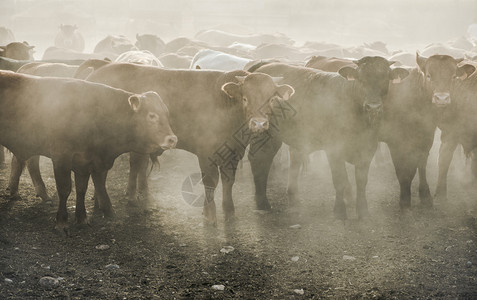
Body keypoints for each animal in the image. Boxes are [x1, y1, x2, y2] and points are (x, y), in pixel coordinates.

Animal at [0, 71, 177, 231]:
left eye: (167, 114)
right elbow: (65, 189)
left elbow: (81, 189)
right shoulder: (61, 158)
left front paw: (82, 218)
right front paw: (61, 221)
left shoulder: (84, 162)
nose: (172, 139)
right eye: (152, 115)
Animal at [85, 63, 294, 225]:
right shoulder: (206, 153)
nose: (259, 124)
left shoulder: (234, 153)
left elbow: (228, 182)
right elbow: (210, 182)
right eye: (245, 98)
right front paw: (209, 215)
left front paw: (229, 212)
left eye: (271, 99)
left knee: (136, 164)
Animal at [249, 58, 410, 219]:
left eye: (385, 78)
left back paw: (293, 198)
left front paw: (363, 211)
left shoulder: (368, 149)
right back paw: (262, 202)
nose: (373, 107)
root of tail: (262, 68)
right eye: (360, 79)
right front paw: (339, 211)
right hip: (266, 134)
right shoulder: (334, 150)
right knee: (260, 160)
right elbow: (339, 180)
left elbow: (361, 182)